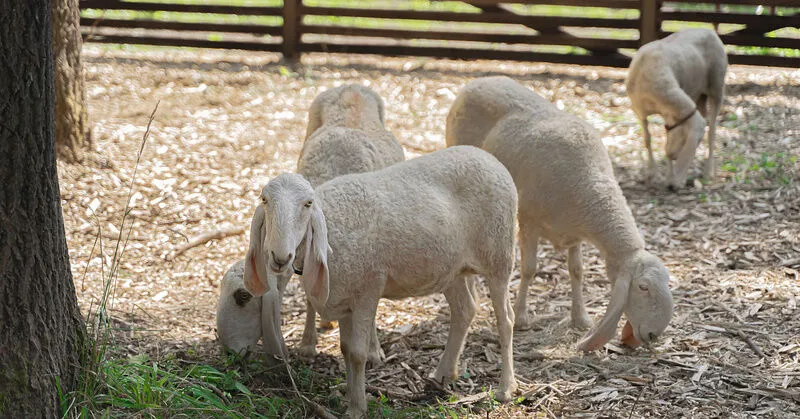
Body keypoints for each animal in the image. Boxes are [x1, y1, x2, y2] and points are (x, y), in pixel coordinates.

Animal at [243, 145, 518, 418]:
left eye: (308, 203)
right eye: (264, 200)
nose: (280, 257)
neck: (332, 225)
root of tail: (489, 158)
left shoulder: (368, 289)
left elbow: (357, 353)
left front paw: (357, 408)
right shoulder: (345, 298)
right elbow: (345, 349)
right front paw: (352, 396)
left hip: (499, 255)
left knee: (505, 320)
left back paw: (506, 388)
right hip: (451, 270)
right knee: (465, 310)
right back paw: (444, 374)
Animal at [446, 76, 674, 352]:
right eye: (643, 287)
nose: (653, 335)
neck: (589, 184)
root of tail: (478, 81)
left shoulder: (574, 234)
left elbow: (577, 271)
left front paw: (580, 318)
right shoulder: (529, 221)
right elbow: (529, 269)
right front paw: (522, 318)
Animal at [626, 28, 727, 189]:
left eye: (697, 141)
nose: (673, 156)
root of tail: (710, 30)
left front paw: (673, 179)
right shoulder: (641, 110)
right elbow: (649, 139)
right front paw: (655, 173)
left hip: (717, 86)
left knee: (712, 130)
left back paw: (708, 171)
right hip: (698, 93)